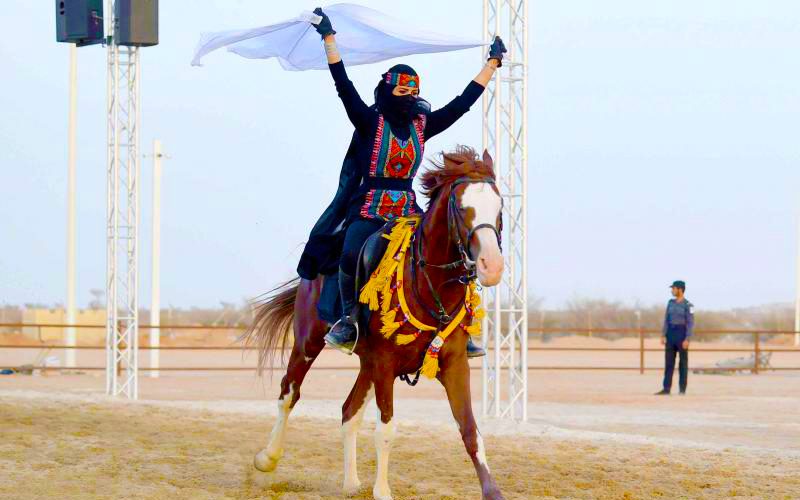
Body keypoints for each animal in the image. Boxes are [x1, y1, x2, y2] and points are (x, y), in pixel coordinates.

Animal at [244, 146, 506, 500]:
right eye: (462, 208)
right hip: (309, 342)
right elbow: (386, 429)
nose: (492, 266)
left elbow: (470, 430)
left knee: (348, 411)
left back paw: (351, 483)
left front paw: (492, 491)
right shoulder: (385, 363)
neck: (429, 283)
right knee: (289, 393)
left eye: (499, 207)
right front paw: (382, 490)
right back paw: (267, 458)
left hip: (366, 364)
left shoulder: (454, 364)